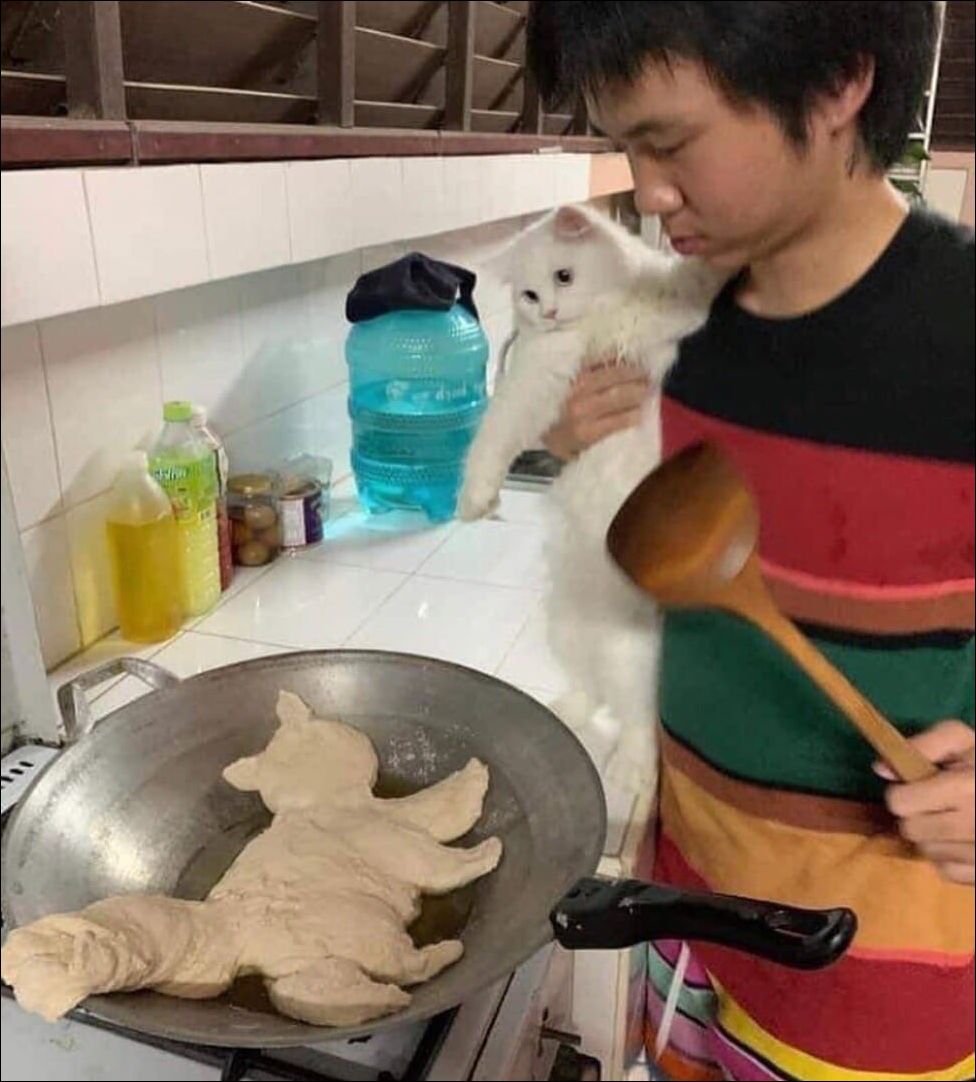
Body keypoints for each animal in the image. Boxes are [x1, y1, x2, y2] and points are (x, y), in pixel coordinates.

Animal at [459, 204, 723, 789]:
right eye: (529, 294)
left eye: (564, 276)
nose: (550, 311)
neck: (594, 325)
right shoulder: (535, 380)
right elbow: (491, 441)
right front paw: (476, 500)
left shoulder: (656, 315)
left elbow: (684, 284)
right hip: (570, 631)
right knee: (602, 698)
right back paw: (573, 722)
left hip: (631, 654)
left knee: (635, 719)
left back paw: (626, 771)